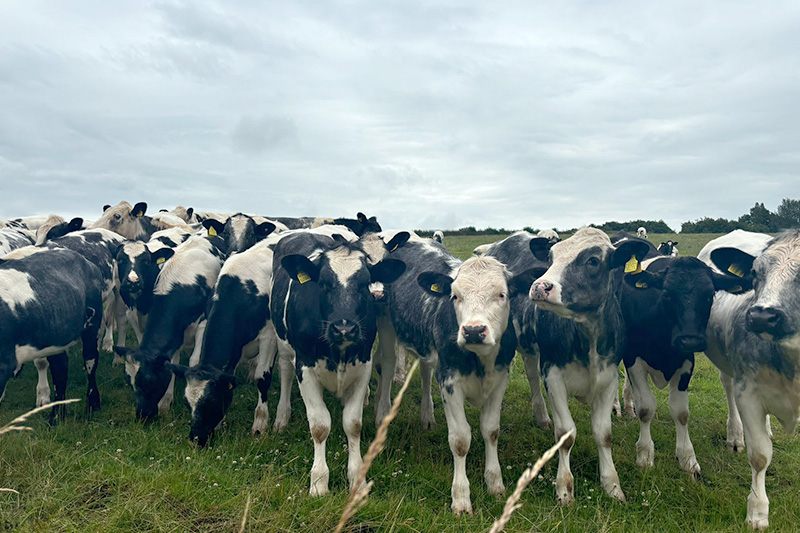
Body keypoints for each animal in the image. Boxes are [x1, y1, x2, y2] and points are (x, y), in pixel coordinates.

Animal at [0, 247, 104, 422]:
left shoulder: (4, 364)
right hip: (57, 337)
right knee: (60, 370)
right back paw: (57, 416)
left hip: (92, 324)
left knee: (90, 360)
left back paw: (93, 404)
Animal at [114, 235, 225, 418]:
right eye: (130, 383)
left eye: (148, 381)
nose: (142, 415)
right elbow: (173, 361)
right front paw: (166, 402)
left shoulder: (203, 323)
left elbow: (194, 360)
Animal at [270, 232, 406, 494]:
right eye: (323, 283)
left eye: (364, 284)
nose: (344, 328)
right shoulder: (305, 367)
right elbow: (320, 426)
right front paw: (319, 481)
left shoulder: (362, 366)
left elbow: (352, 424)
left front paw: (357, 478)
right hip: (283, 345)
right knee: (285, 372)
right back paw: (281, 417)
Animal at [524, 228, 648, 502]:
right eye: (551, 257)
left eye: (592, 260)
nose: (539, 286)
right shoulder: (553, 377)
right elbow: (565, 434)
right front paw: (564, 487)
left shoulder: (608, 379)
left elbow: (604, 434)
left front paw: (612, 485)